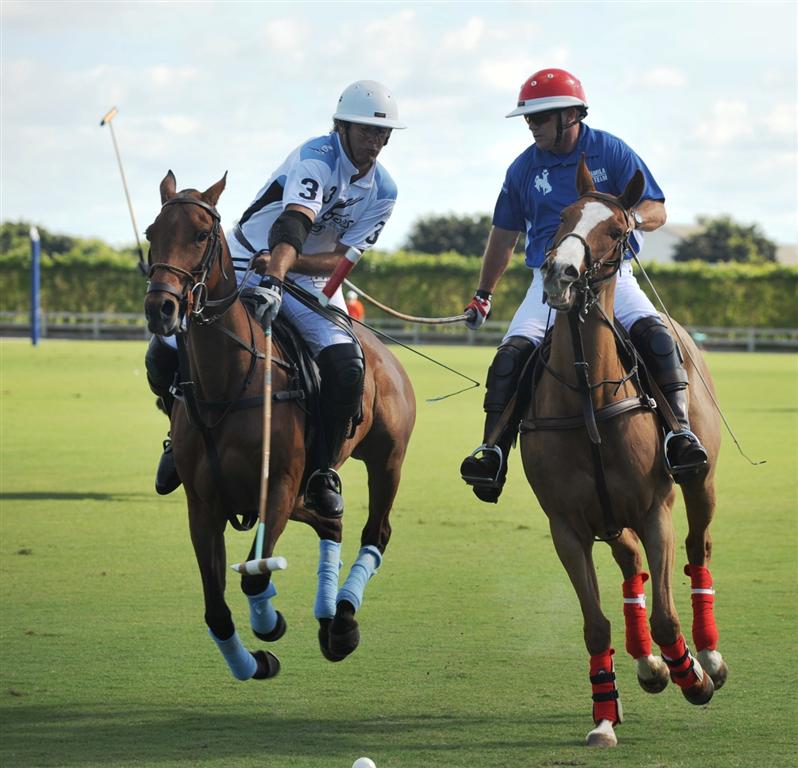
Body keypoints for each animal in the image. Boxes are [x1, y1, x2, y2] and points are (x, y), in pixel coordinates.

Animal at [143, 171, 416, 680]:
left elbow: (256, 575)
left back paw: (342, 620)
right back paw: (331, 620)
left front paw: (269, 624)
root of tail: (382, 351)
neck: (228, 382)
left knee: (375, 532)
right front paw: (253, 663)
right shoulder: (203, 506)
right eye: (152, 232)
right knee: (332, 520)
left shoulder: (279, 488)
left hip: (386, 459)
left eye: (202, 235)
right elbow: (217, 607)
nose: (161, 309)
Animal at [519, 156, 727, 746]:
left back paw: (707, 657)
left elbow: (665, 615)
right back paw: (647, 665)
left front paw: (692, 676)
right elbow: (595, 626)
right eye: (563, 215)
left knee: (697, 549)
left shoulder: (656, 510)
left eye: (616, 230)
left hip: (699, 482)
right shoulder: (566, 526)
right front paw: (605, 717)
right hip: (609, 517)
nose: (560, 274)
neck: (588, 395)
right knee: (630, 563)